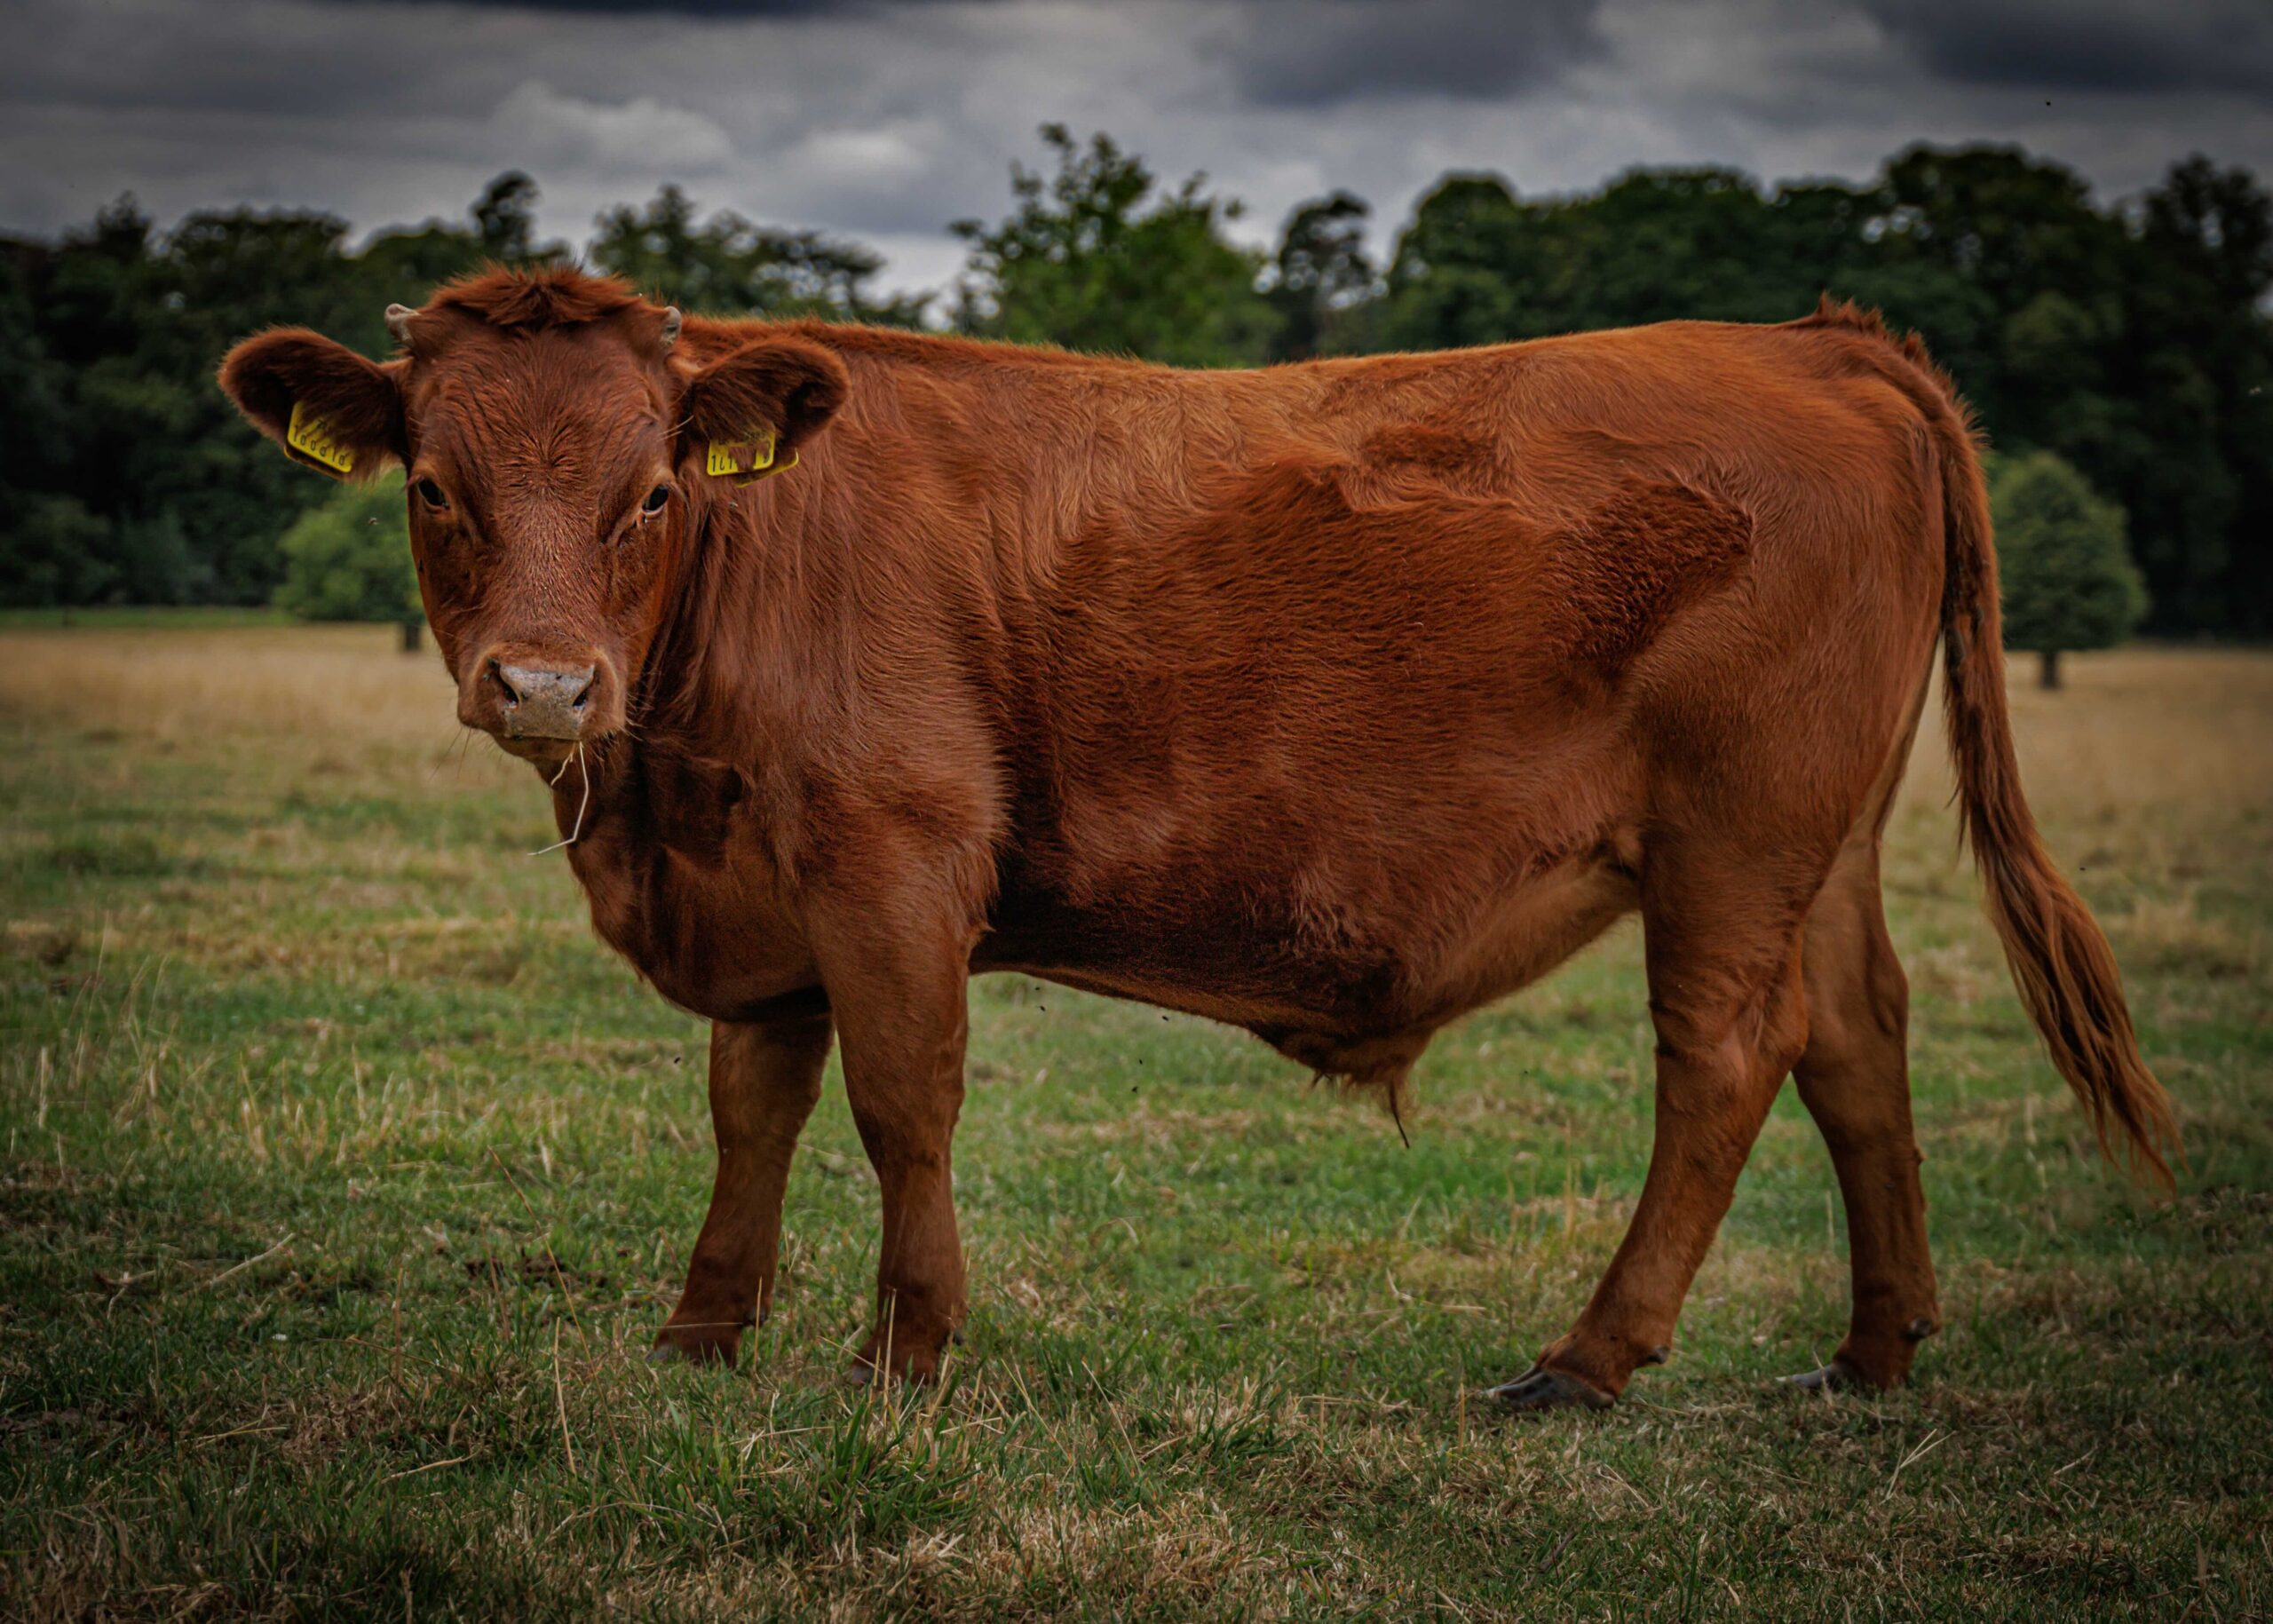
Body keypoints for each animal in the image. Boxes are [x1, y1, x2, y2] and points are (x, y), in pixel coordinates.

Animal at [219, 268, 2177, 1411]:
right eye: (432, 486)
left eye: (647, 491)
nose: (548, 684)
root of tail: (1806, 339)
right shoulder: (755, 888)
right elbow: (750, 1106)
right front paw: (703, 1331)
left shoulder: (890, 858)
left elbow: (900, 1102)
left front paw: (905, 1349)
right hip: (1819, 845)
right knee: (1859, 1044)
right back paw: (1869, 1353)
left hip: (1734, 835)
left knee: (1724, 1059)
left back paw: (1583, 1358)